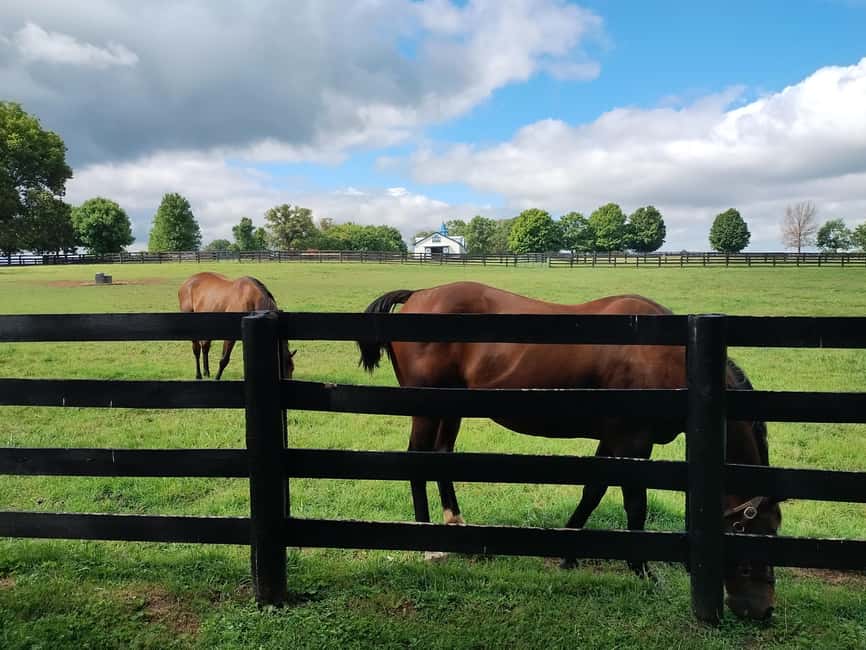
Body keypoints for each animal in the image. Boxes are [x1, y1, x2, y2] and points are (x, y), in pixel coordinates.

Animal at [356, 281, 782, 621]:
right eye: (752, 531)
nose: (762, 611)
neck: (675, 358)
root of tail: (419, 295)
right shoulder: (632, 442)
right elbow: (634, 505)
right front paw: (642, 569)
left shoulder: (614, 441)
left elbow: (593, 490)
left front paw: (569, 552)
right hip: (426, 408)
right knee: (417, 460)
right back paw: (429, 548)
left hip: (451, 407)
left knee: (442, 456)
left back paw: (456, 526)